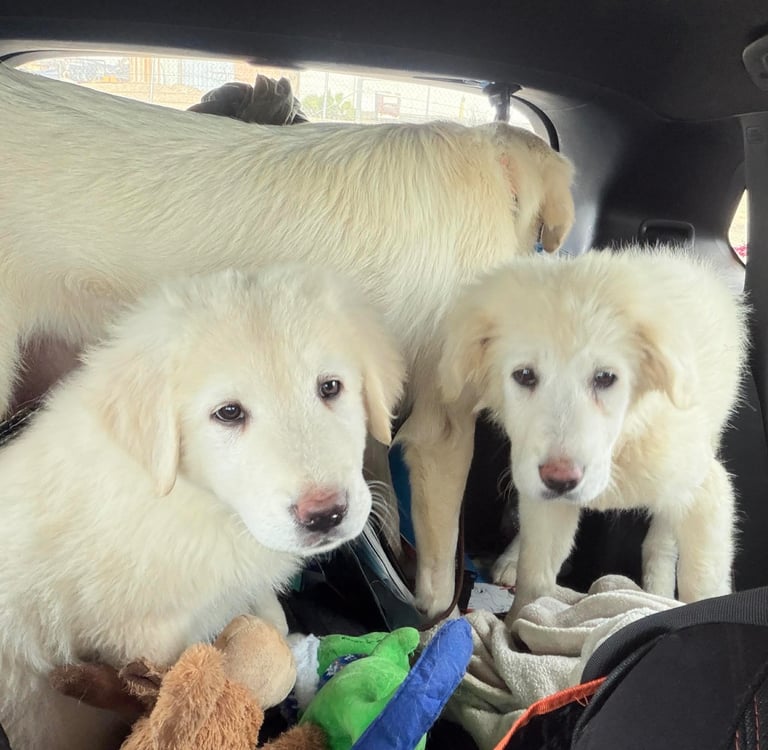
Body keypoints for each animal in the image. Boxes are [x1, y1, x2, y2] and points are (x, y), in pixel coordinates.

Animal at [0, 265, 404, 750]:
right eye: (228, 413)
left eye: (330, 387)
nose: (325, 514)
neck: (204, 504)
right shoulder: (147, 634)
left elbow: (267, 611)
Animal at [437, 248, 747, 622]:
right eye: (524, 375)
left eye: (605, 378)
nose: (560, 480)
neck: (621, 445)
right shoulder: (544, 497)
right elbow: (535, 577)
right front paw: (518, 627)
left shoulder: (705, 492)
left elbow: (701, 585)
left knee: (660, 540)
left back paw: (656, 590)